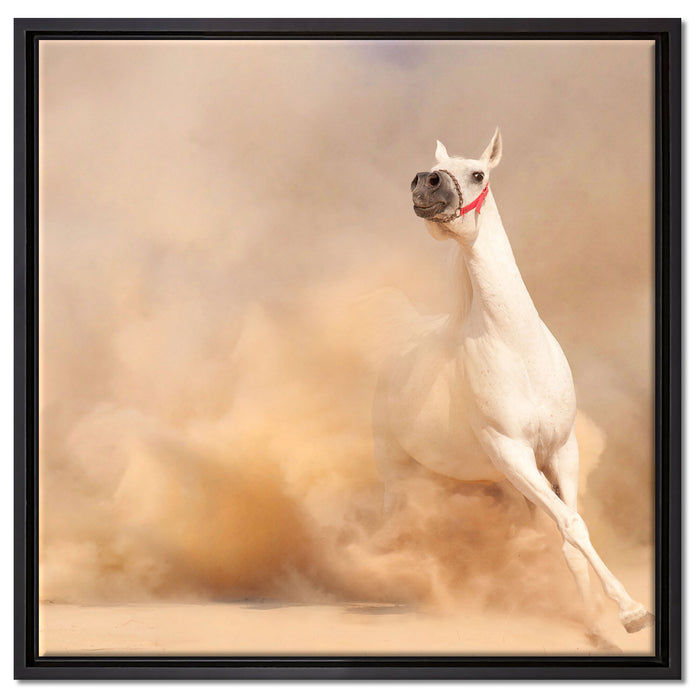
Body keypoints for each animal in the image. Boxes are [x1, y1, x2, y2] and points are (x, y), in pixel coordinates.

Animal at [372, 128, 654, 635]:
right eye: (434, 169)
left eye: (478, 174)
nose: (425, 183)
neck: (517, 347)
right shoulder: (512, 452)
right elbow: (572, 526)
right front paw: (630, 612)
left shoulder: (559, 451)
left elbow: (568, 528)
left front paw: (595, 619)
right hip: (398, 470)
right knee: (394, 524)